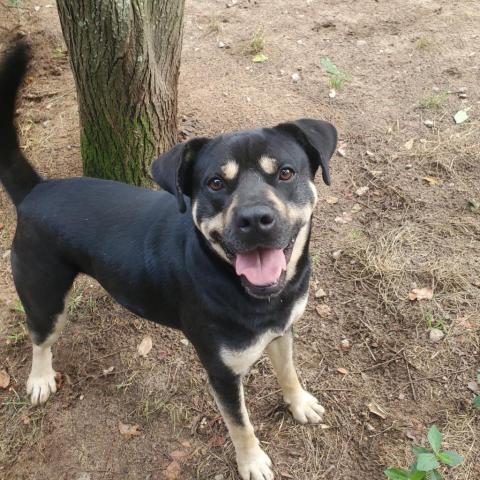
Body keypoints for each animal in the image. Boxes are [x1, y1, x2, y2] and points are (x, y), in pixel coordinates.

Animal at [0, 43, 338, 478]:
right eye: (215, 183)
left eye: (285, 173)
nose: (254, 220)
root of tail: (36, 190)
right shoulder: (221, 371)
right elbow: (239, 423)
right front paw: (252, 461)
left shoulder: (282, 331)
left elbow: (289, 370)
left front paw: (299, 403)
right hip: (44, 295)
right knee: (40, 337)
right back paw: (41, 378)